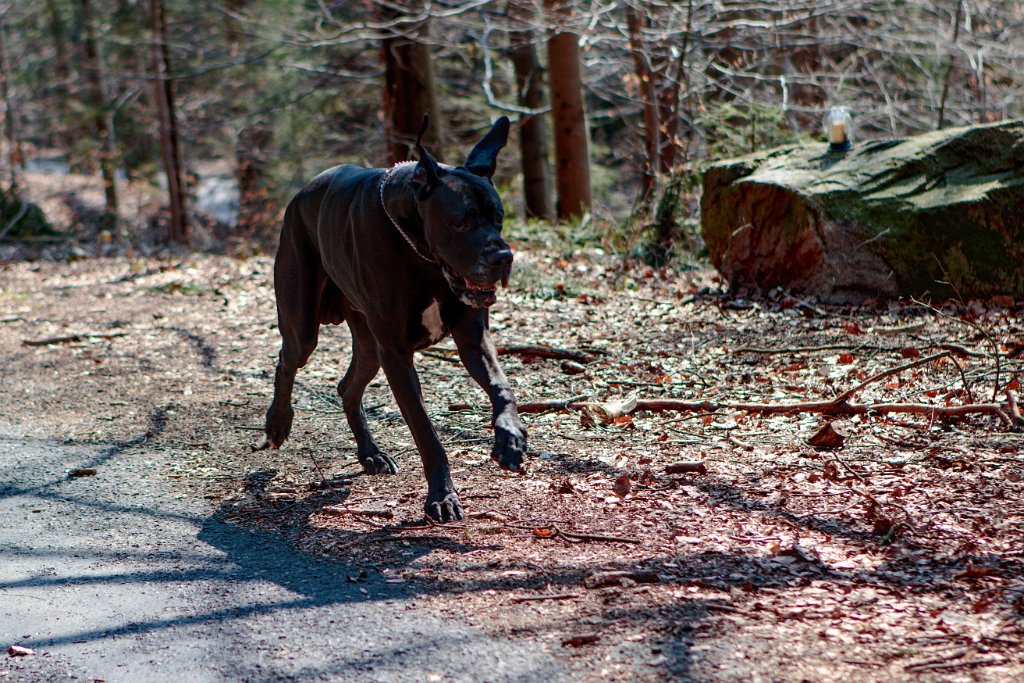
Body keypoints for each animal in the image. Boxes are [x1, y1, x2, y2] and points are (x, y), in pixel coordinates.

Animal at [260, 118, 528, 524]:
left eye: (498, 218)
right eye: (460, 222)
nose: (503, 257)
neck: (424, 258)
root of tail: (302, 193)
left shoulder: (472, 338)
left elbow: (501, 387)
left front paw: (510, 438)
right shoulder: (397, 354)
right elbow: (425, 432)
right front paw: (442, 497)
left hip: (369, 344)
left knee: (348, 387)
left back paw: (370, 453)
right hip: (304, 323)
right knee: (287, 359)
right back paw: (278, 422)